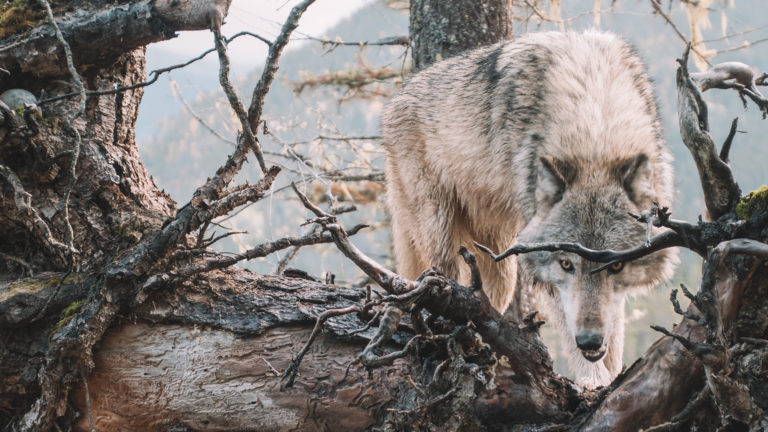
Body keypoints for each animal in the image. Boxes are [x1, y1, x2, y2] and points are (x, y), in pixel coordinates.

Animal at [382, 30, 678, 387]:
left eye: (616, 265)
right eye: (566, 264)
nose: (590, 341)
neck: (596, 125)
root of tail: (396, 99)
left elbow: (615, 325)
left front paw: (613, 374)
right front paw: (594, 382)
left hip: (500, 267)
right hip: (444, 241)